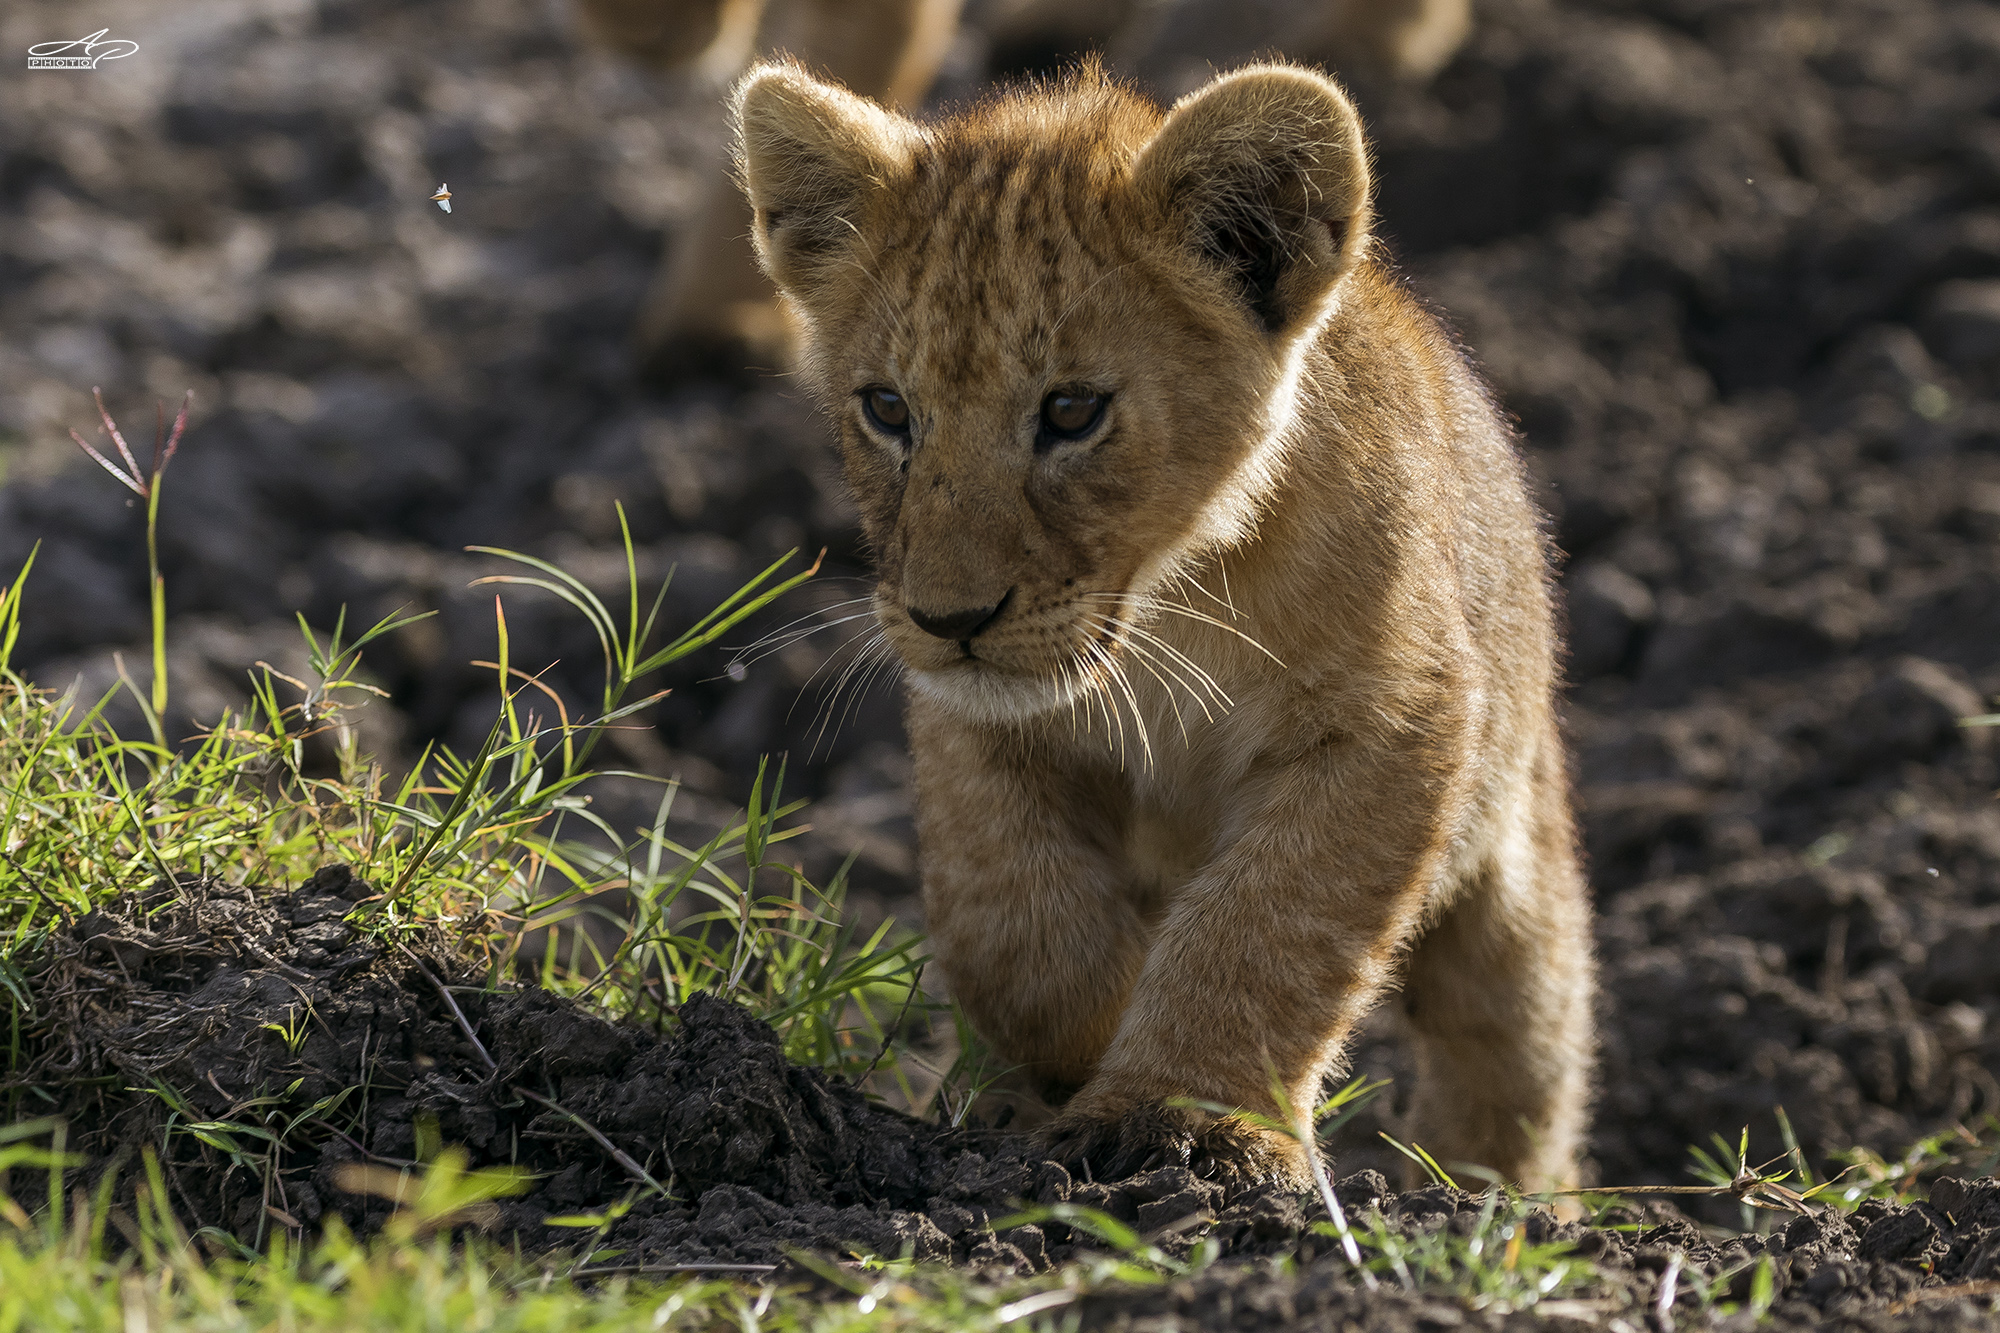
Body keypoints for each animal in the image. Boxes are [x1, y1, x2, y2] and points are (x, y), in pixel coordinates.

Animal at [727, 58, 1594, 1191]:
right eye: (886, 410)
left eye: (1070, 412)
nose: (949, 617)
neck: (1168, 610)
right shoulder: (974, 724)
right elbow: (1017, 925)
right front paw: (1062, 1065)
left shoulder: (1393, 722)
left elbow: (1264, 925)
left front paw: (1182, 1123)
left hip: (1515, 867)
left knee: (1514, 1060)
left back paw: (1490, 1201)